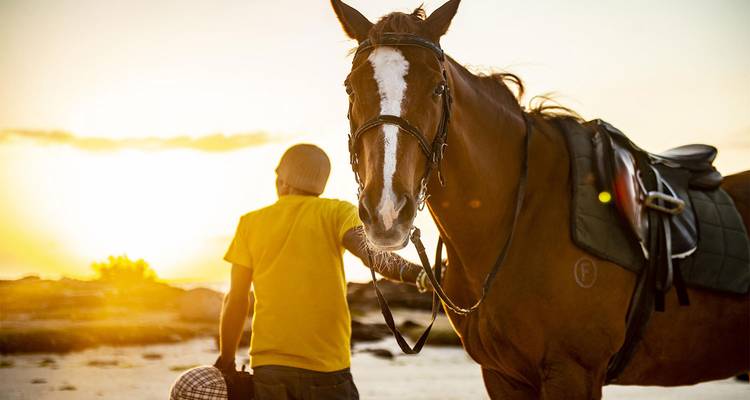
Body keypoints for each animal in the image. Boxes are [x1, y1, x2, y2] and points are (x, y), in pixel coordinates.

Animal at [331, 0, 749, 398]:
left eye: (437, 88)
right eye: (350, 87)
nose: (387, 212)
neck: (521, 215)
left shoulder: (573, 372)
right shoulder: (502, 376)